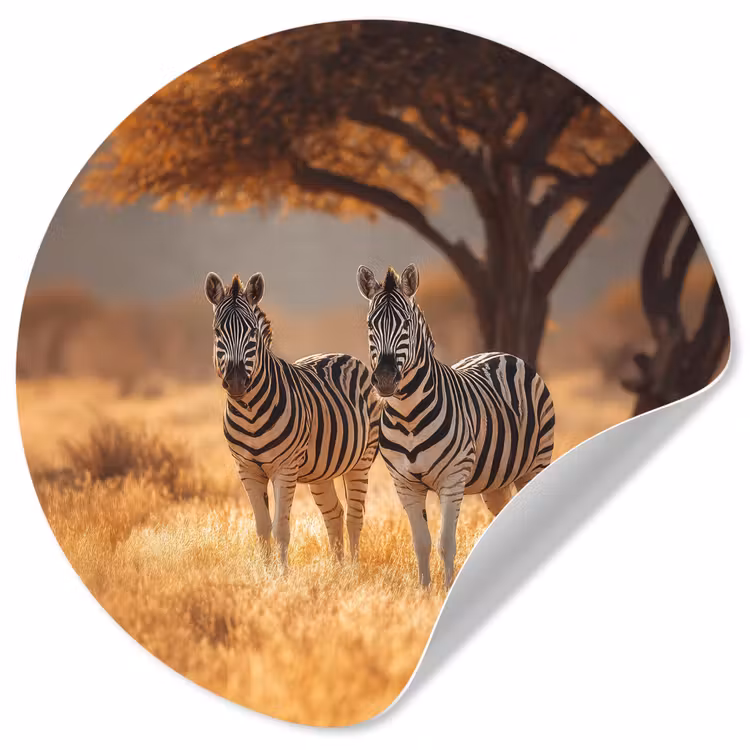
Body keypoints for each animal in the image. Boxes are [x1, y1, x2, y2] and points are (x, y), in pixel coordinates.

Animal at [205, 271, 381, 568]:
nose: (237, 382)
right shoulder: (247, 469)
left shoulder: (284, 469)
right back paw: (337, 571)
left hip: (362, 459)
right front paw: (264, 573)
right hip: (321, 470)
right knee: (334, 513)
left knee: (355, 518)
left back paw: (353, 571)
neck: (250, 413)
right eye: (218, 331)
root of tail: (342, 354)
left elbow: (281, 528)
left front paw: (282, 575)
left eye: (252, 332)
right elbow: (262, 528)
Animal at [357, 264, 555, 588]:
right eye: (371, 324)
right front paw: (424, 591)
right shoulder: (404, 484)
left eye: (406, 324)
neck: (408, 416)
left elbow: (446, 543)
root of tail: (503, 354)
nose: (385, 379)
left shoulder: (452, 479)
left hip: (535, 465)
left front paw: (448, 589)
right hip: (496, 480)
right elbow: (421, 542)